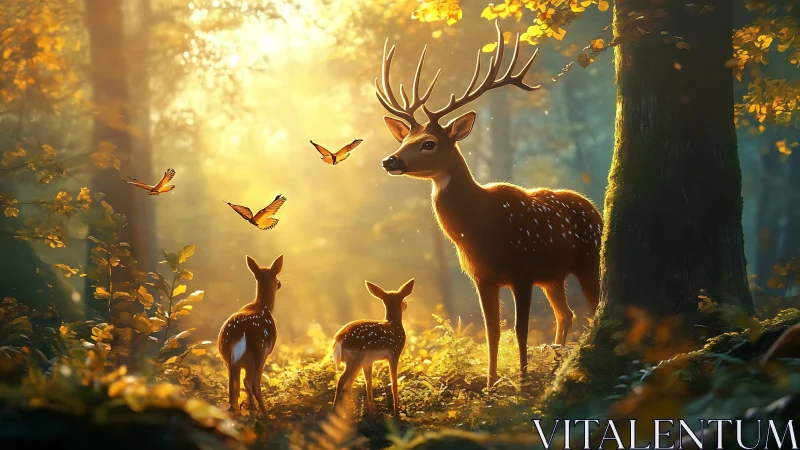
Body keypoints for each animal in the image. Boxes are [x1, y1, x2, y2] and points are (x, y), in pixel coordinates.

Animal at [218, 254, 283, 414]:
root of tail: (239, 332)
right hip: (259, 352)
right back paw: (260, 413)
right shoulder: (267, 351)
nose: (280, 283)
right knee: (251, 382)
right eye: (276, 277)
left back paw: (237, 410)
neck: (263, 306)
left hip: (226, 356)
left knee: (233, 383)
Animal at [331, 279, 414, 416]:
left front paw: (372, 414)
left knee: (348, 384)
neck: (394, 325)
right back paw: (336, 412)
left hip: (357, 360)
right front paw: (396, 412)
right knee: (341, 380)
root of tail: (339, 338)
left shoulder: (369, 361)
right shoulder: (394, 352)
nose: (406, 304)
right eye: (402, 298)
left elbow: (368, 385)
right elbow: (394, 383)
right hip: (356, 357)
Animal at [376, 20, 602, 389]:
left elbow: (520, 330)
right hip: (553, 276)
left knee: (593, 307)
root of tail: (595, 208)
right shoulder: (482, 277)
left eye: (429, 143)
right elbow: (491, 331)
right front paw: (490, 384)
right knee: (565, 313)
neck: (481, 230)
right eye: (405, 138)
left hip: (587, 258)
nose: (389, 160)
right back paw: (556, 363)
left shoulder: (522, 269)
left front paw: (520, 384)